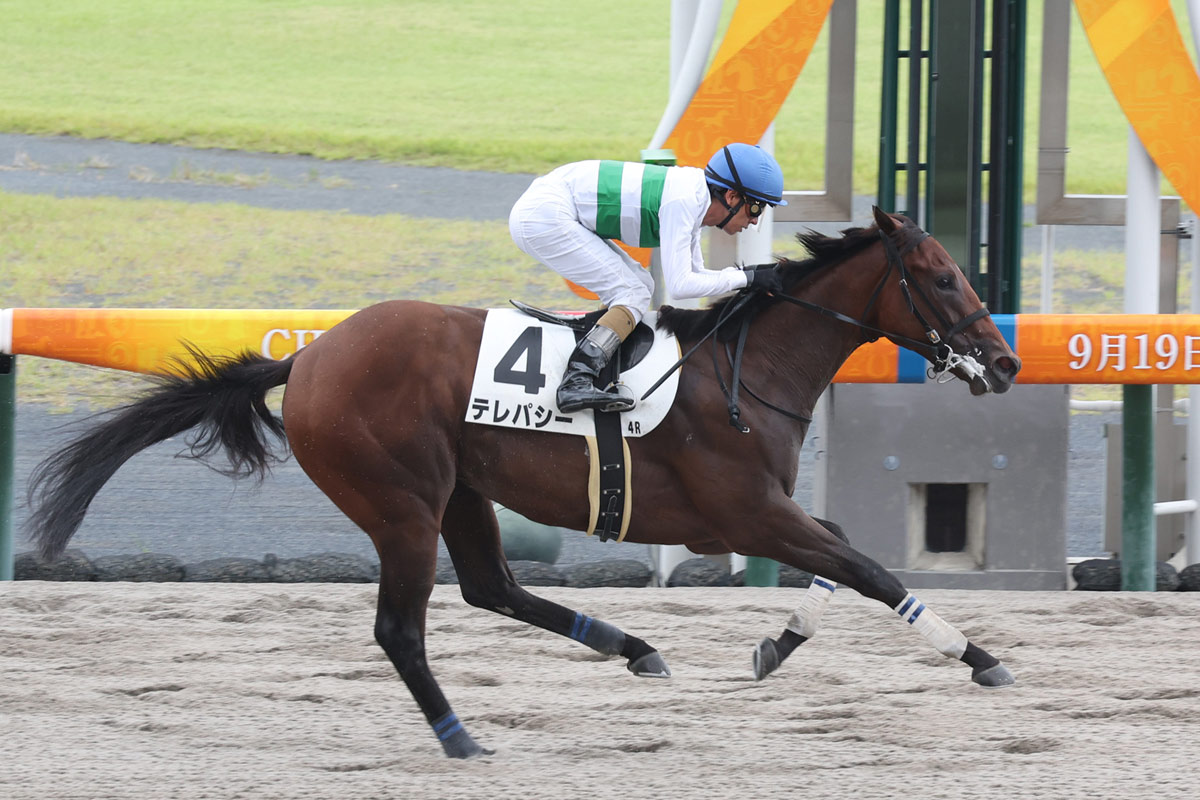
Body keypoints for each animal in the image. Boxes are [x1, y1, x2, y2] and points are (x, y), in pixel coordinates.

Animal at [27, 207, 1021, 759]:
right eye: (941, 277)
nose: (1007, 361)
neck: (745, 371)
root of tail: (307, 359)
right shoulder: (743, 514)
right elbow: (871, 570)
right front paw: (980, 657)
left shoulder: (753, 518)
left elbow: (844, 558)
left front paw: (776, 645)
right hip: (400, 503)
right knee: (403, 628)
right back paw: (460, 736)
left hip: (460, 491)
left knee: (492, 586)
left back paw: (629, 645)